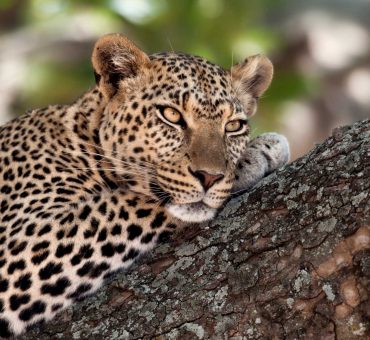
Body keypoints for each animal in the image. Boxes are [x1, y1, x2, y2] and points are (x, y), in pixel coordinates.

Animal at [0, 33, 290, 336]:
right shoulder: (17, 248)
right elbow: (127, 201)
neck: (85, 137)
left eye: (233, 126)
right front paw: (255, 156)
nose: (210, 176)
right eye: (171, 115)